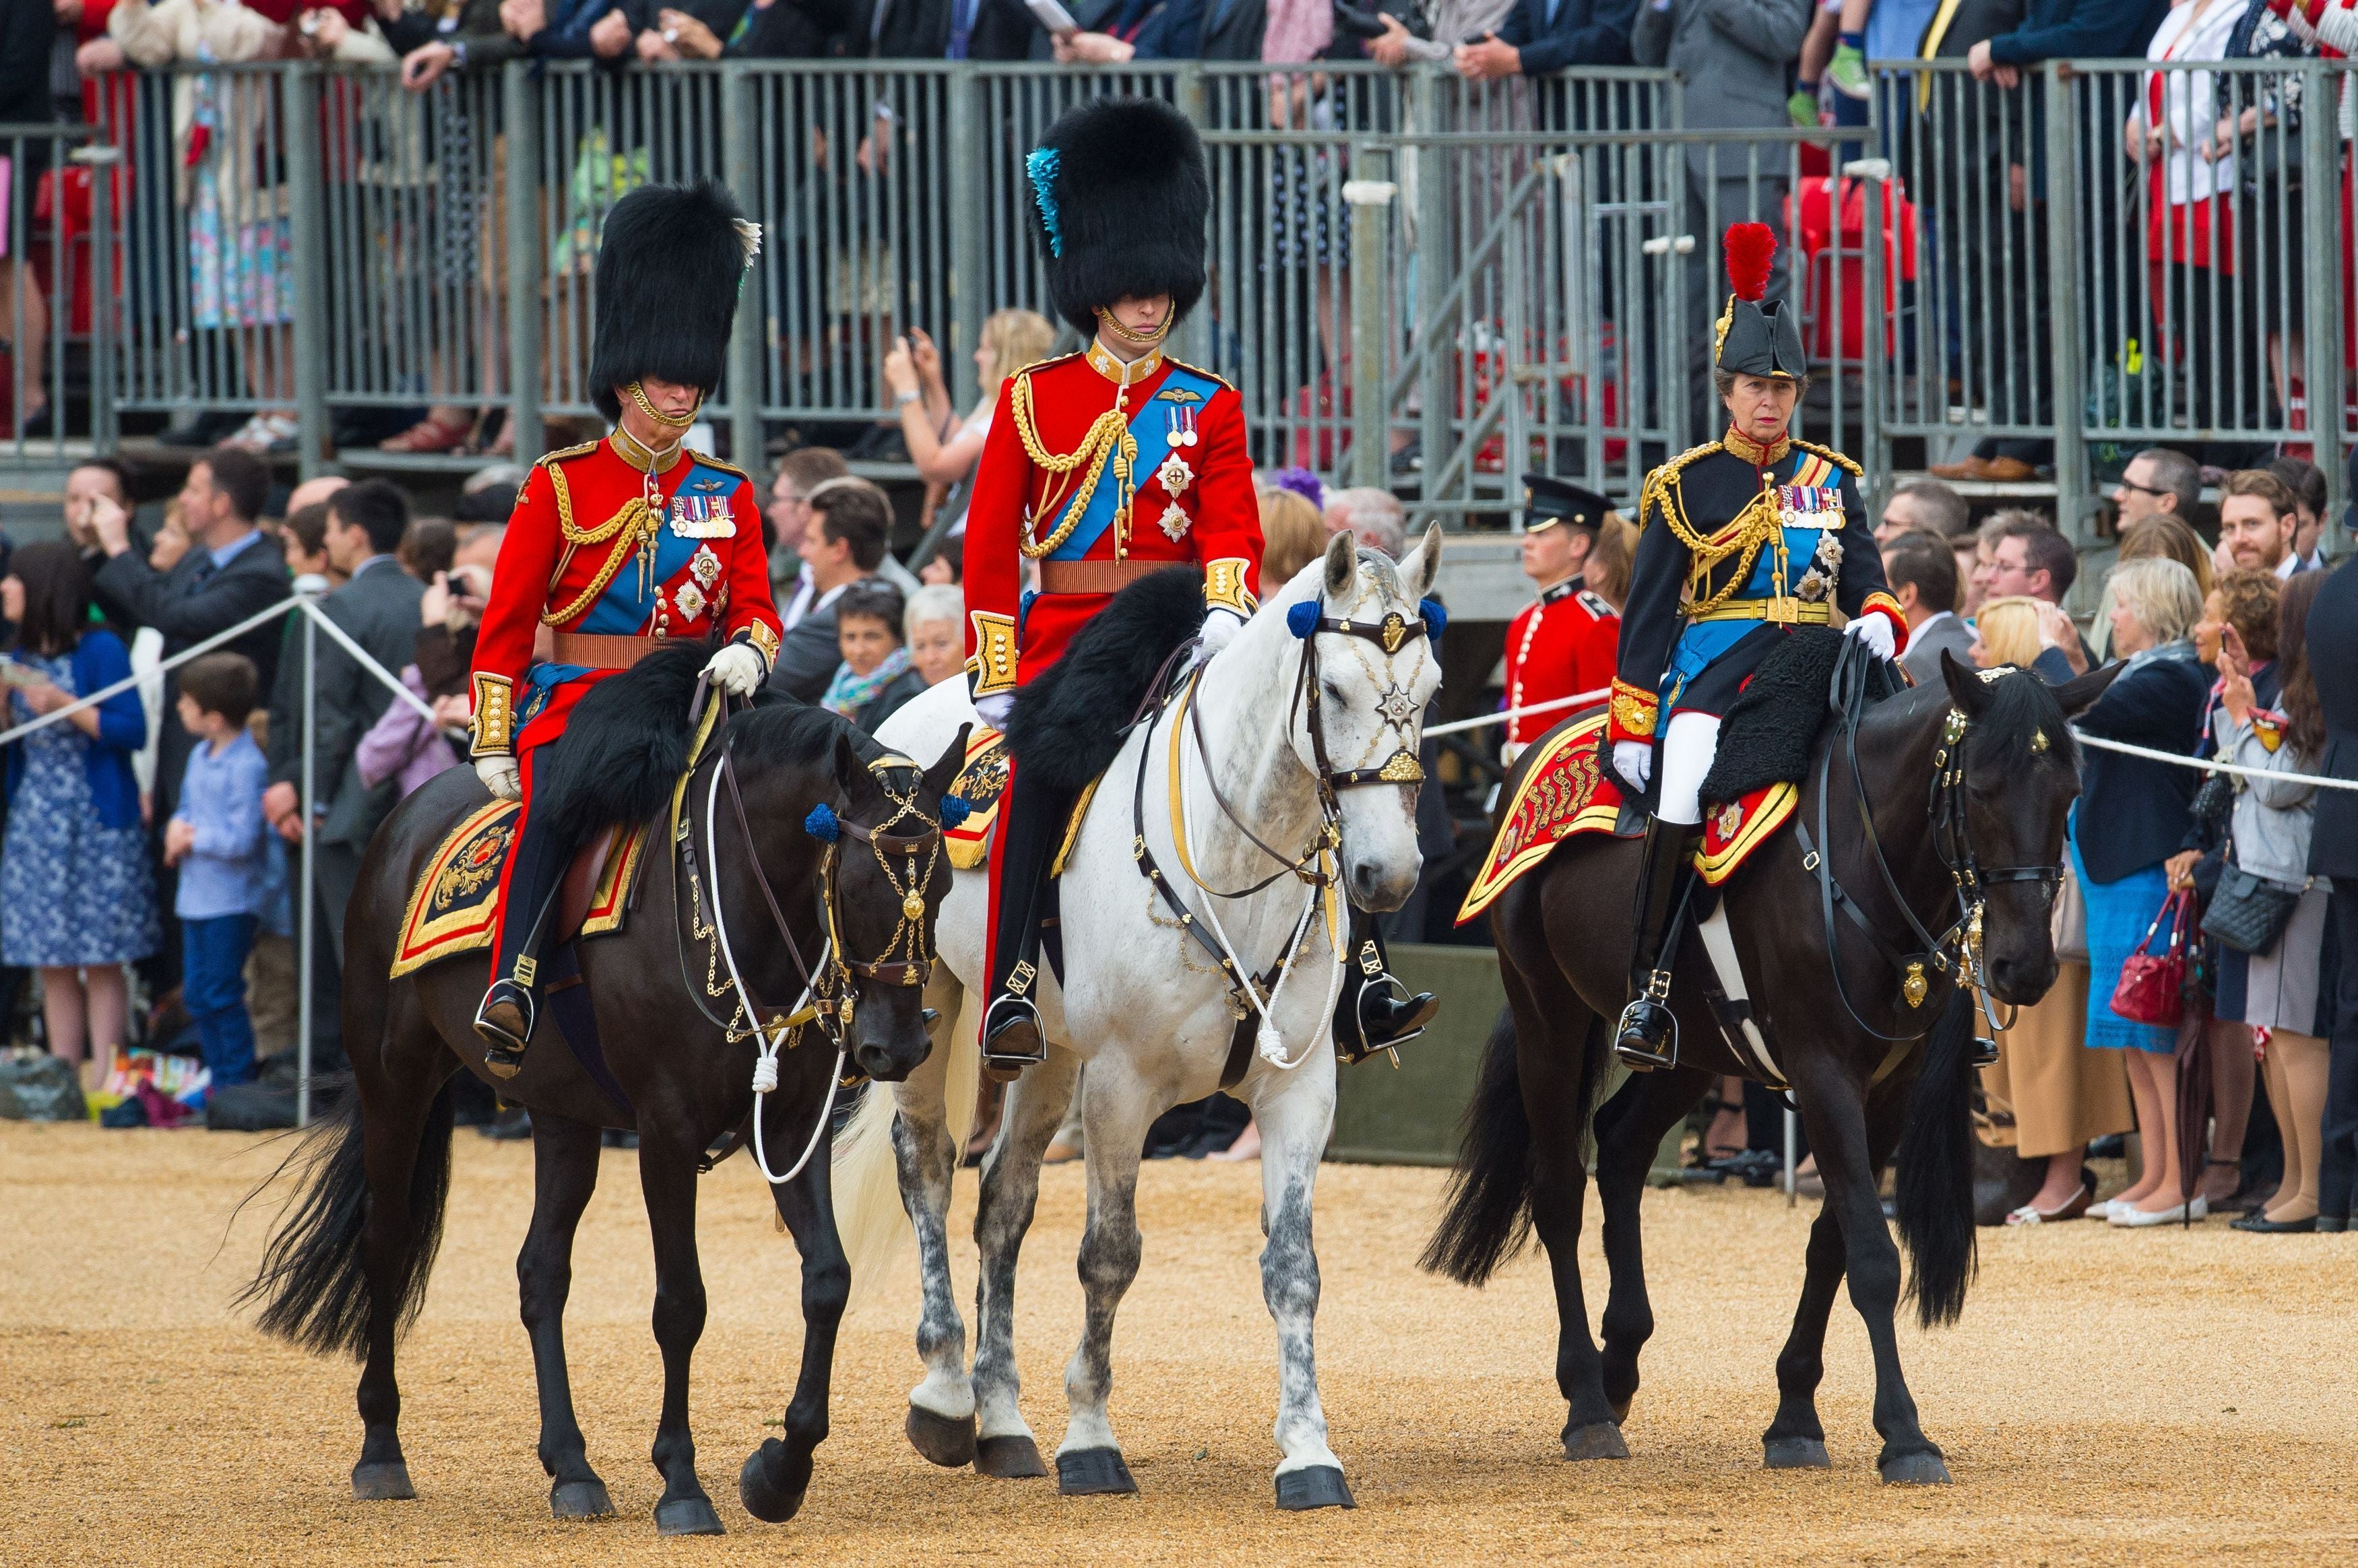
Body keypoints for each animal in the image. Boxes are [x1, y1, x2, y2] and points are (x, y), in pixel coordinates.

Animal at [241, 646, 967, 1528]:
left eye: (944, 888)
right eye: (859, 882)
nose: (898, 1046)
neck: (740, 909)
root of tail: (406, 816)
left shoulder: (794, 1124)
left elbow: (827, 1280)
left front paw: (779, 1471)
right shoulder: (665, 1130)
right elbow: (680, 1304)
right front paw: (682, 1482)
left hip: (563, 1113)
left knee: (540, 1272)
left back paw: (572, 1467)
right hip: (396, 1081)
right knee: (386, 1242)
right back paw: (382, 1448)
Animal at [839, 533, 1443, 1509]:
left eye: (1428, 692)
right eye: (1335, 691)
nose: (1386, 876)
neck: (1235, 867)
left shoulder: (1299, 1091)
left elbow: (1294, 1271)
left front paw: (1308, 1451)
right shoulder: (1122, 1088)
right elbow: (1109, 1255)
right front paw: (1091, 1438)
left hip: (1048, 1053)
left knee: (1002, 1204)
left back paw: (1002, 1421)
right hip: (925, 1008)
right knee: (927, 1169)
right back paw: (945, 1394)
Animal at [1424, 655, 2132, 1490]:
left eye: (2069, 794)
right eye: (1982, 788)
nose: (2023, 969)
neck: (1861, 860)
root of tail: (1534, 749)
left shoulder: (1883, 1090)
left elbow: (1833, 1242)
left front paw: (1794, 1415)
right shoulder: (1822, 1072)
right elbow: (1870, 1253)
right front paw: (1904, 1434)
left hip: (1696, 1046)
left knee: (1621, 1145)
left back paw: (1620, 1360)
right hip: (1548, 1014)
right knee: (1559, 1186)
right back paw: (1586, 1402)